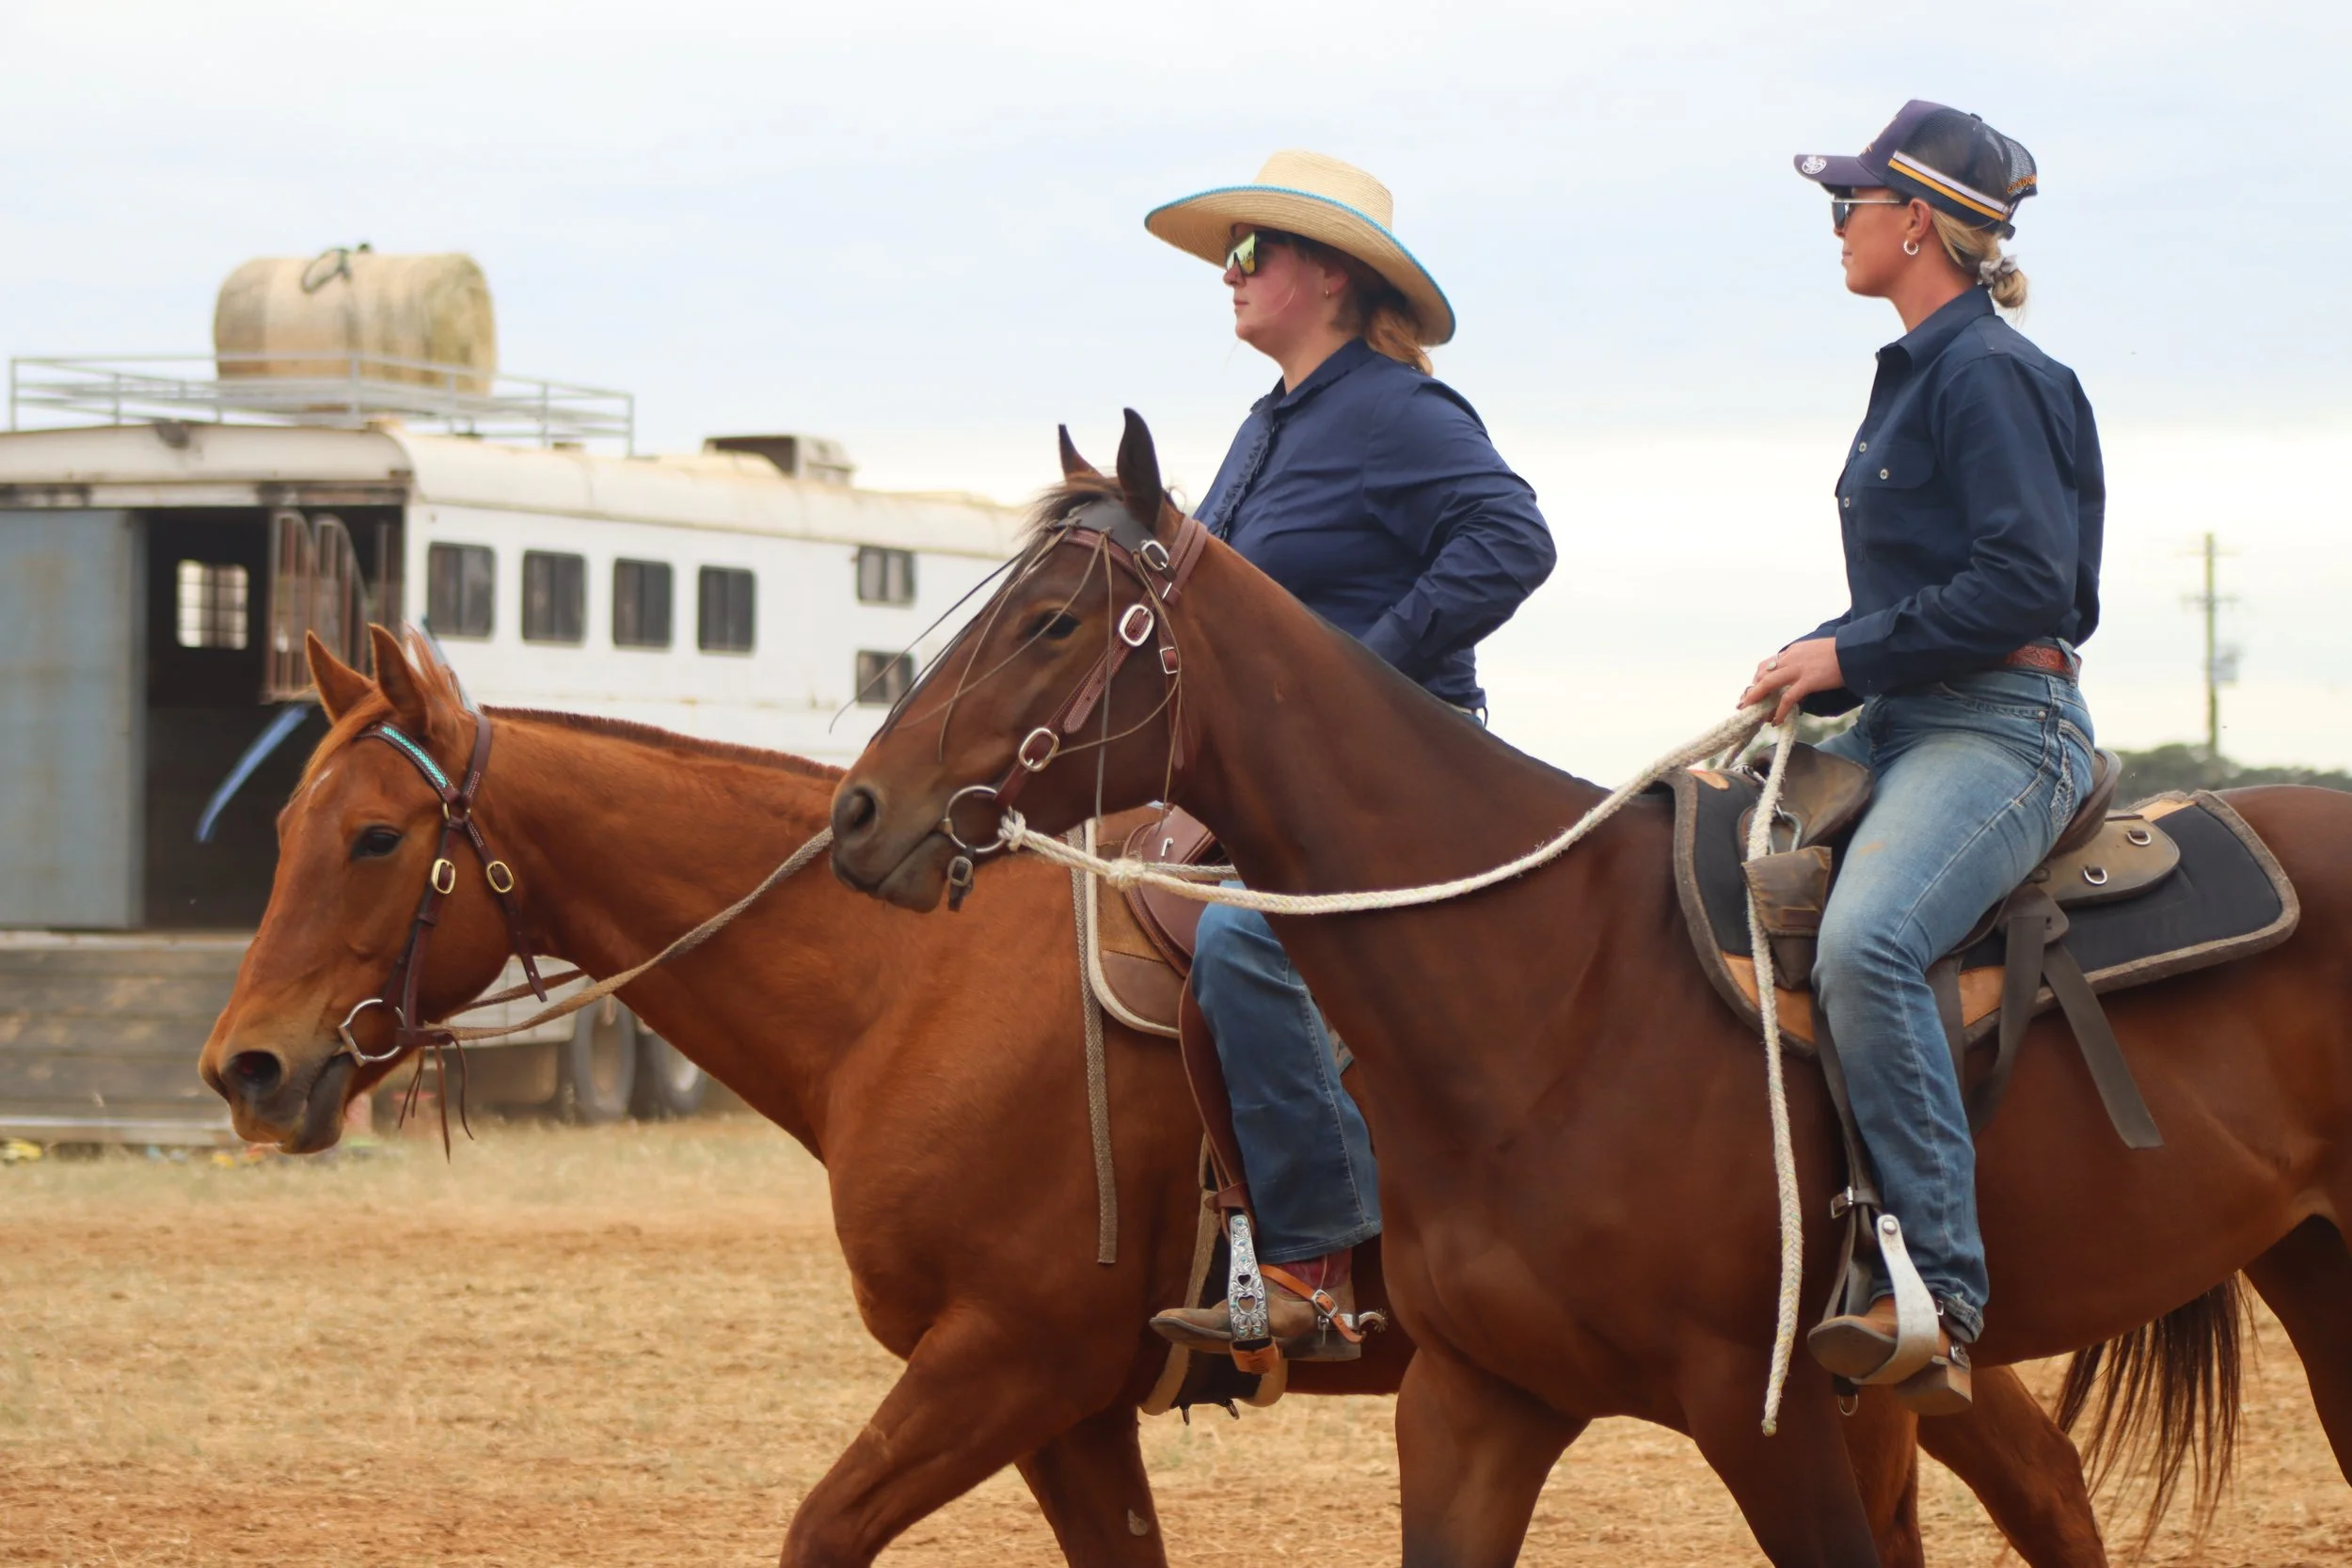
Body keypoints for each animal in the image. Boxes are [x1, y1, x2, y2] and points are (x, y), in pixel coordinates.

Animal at [195, 625, 2110, 1566]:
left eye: (378, 835)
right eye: (288, 825)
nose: (249, 1064)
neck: (903, 995)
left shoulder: (1003, 1362)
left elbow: (820, 1529)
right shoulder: (1069, 1409)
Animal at [827, 412, 2349, 1568]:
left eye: (1051, 618)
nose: (860, 809)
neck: (1552, 982)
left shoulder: (1774, 1414)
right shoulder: (1475, 1402)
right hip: (2308, 1266)